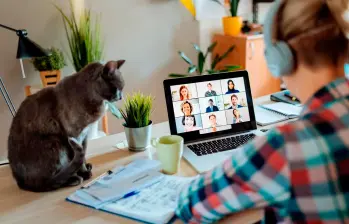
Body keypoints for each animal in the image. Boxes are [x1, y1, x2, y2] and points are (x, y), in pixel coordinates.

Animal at [7, 60, 125, 192]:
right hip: (55, 142)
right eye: (117, 88)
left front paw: (85, 169)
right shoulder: (74, 134)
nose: (121, 96)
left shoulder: (85, 135)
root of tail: (21, 182)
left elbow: (84, 153)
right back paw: (73, 178)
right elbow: (79, 157)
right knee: (48, 182)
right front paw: (84, 173)